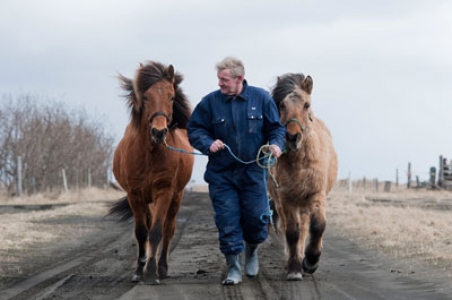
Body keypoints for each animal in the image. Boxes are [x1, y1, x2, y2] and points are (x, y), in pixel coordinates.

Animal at [110, 61, 195, 284]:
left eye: (171, 96)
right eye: (146, 97)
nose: (159, 132)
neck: (149, 154)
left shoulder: (164, 192)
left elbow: (157, 231)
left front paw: (150, 271)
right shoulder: (135, 194)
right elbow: (142, 232)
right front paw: (139, 270)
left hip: (175, 196)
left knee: (168, 228)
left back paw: (162, 267)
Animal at [266, 72, 338, 282]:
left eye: (306, 105)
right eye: (282, 105)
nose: (292, 137)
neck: (300, 162)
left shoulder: (316, 195)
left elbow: (318, 226)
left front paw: (311, 262)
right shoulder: (286, 200)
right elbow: (292, 233)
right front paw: (295, 268)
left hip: (305, 204)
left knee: (306, 228)